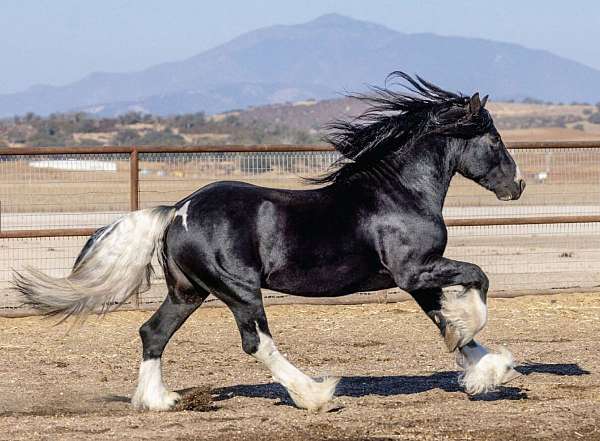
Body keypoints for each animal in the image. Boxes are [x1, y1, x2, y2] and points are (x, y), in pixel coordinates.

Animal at [14, 72, 524, 412]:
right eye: (495, 139)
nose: (516, 185)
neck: (398, 193)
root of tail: (177, 210)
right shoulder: (414, 269)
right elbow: (479, 280)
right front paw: (476, 343)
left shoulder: (417, 278)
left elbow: (443, 320)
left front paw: (486, 370)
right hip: (239, 290)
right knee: (256, 342)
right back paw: (316, 394)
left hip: (189, 292)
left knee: (152, 332)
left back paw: (160, 400)